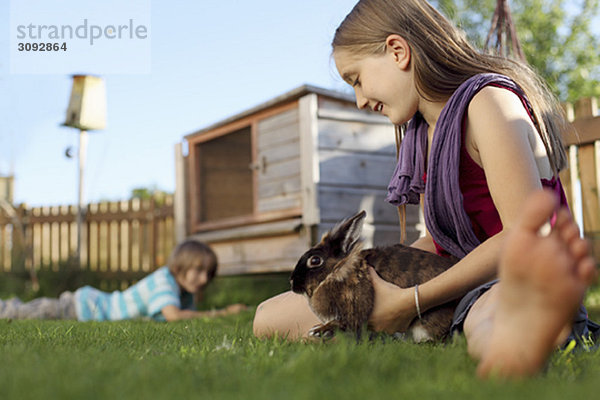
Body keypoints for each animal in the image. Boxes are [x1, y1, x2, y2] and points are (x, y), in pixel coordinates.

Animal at [290, 209, 460, 340]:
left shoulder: (352, 306)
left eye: (315, 260)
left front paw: (319, 331)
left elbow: (344, 322)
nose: (292, 283)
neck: (337, 270)